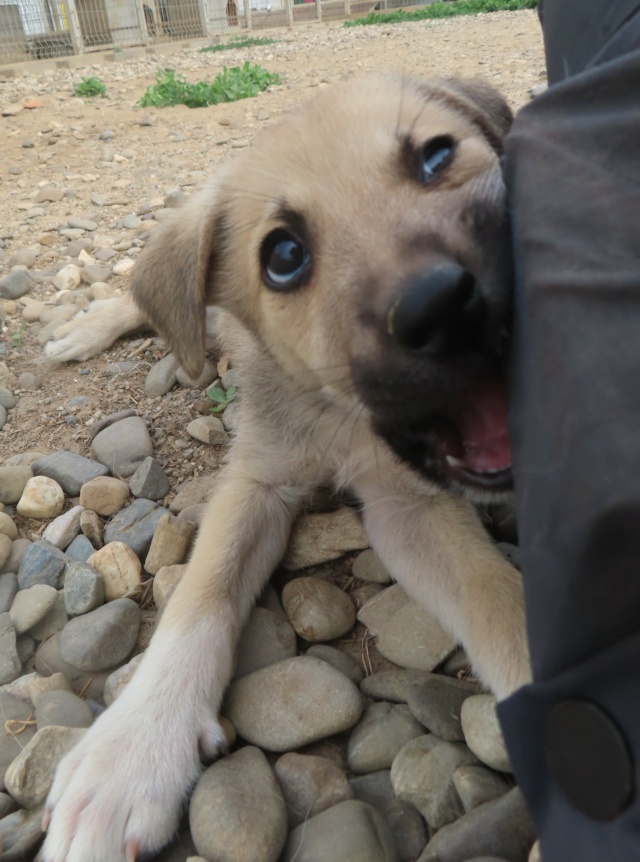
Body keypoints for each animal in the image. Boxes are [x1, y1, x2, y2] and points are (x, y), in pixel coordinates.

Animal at [41, 76, 528, 862]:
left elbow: (498, 602)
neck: (336, 412)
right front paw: (134, 751)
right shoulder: (256, 482)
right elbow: (201, 595)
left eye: (436, 155)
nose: (444, 307)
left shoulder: (408, 506)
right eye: (284, 255)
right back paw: (85, 329)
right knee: (148, 305)